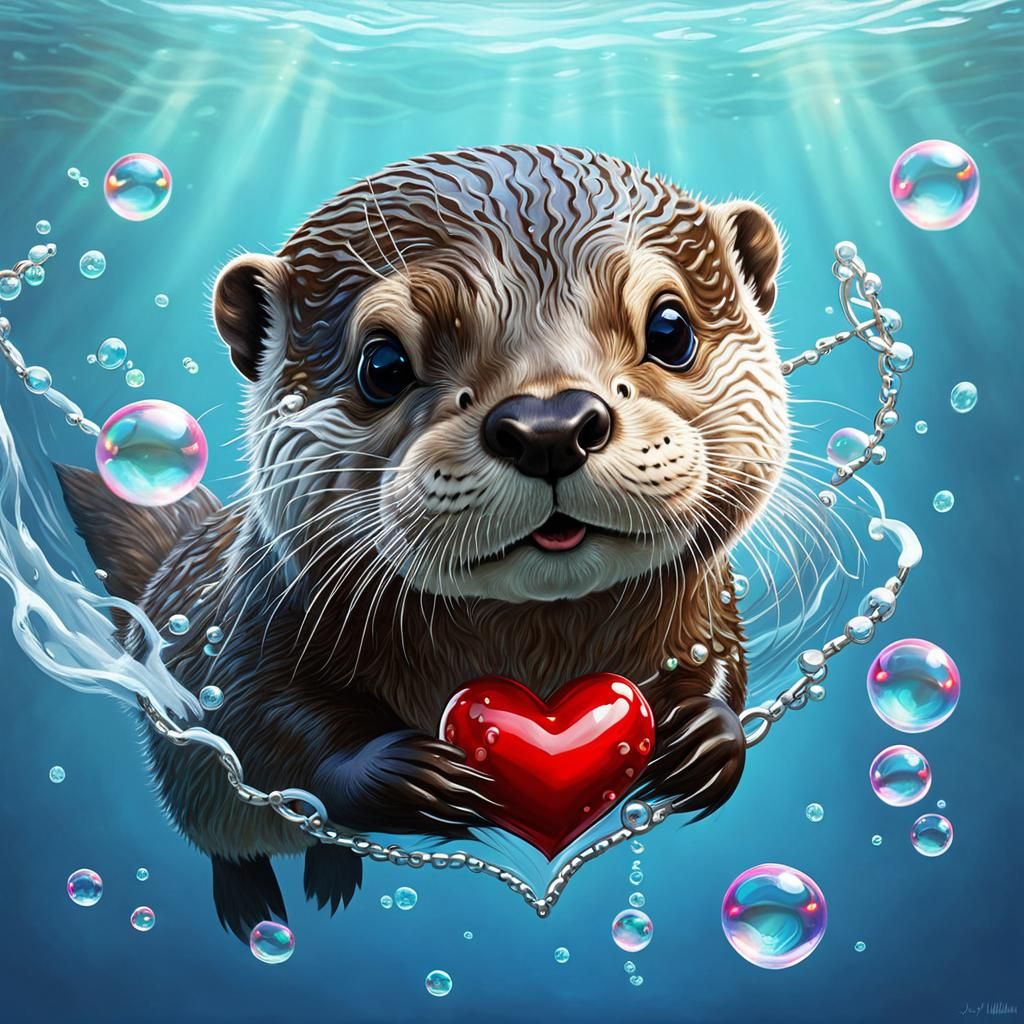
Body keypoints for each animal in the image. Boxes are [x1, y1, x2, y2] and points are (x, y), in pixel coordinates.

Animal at [56, 144, 788, 941]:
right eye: (382, 365)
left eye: (670, 329)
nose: (551, 425)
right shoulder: (242, 638)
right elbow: (261, 727)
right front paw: (413, 775)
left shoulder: (711, 609)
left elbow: (721, 667)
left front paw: (706, 736)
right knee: (230, 839)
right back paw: (255, 906)